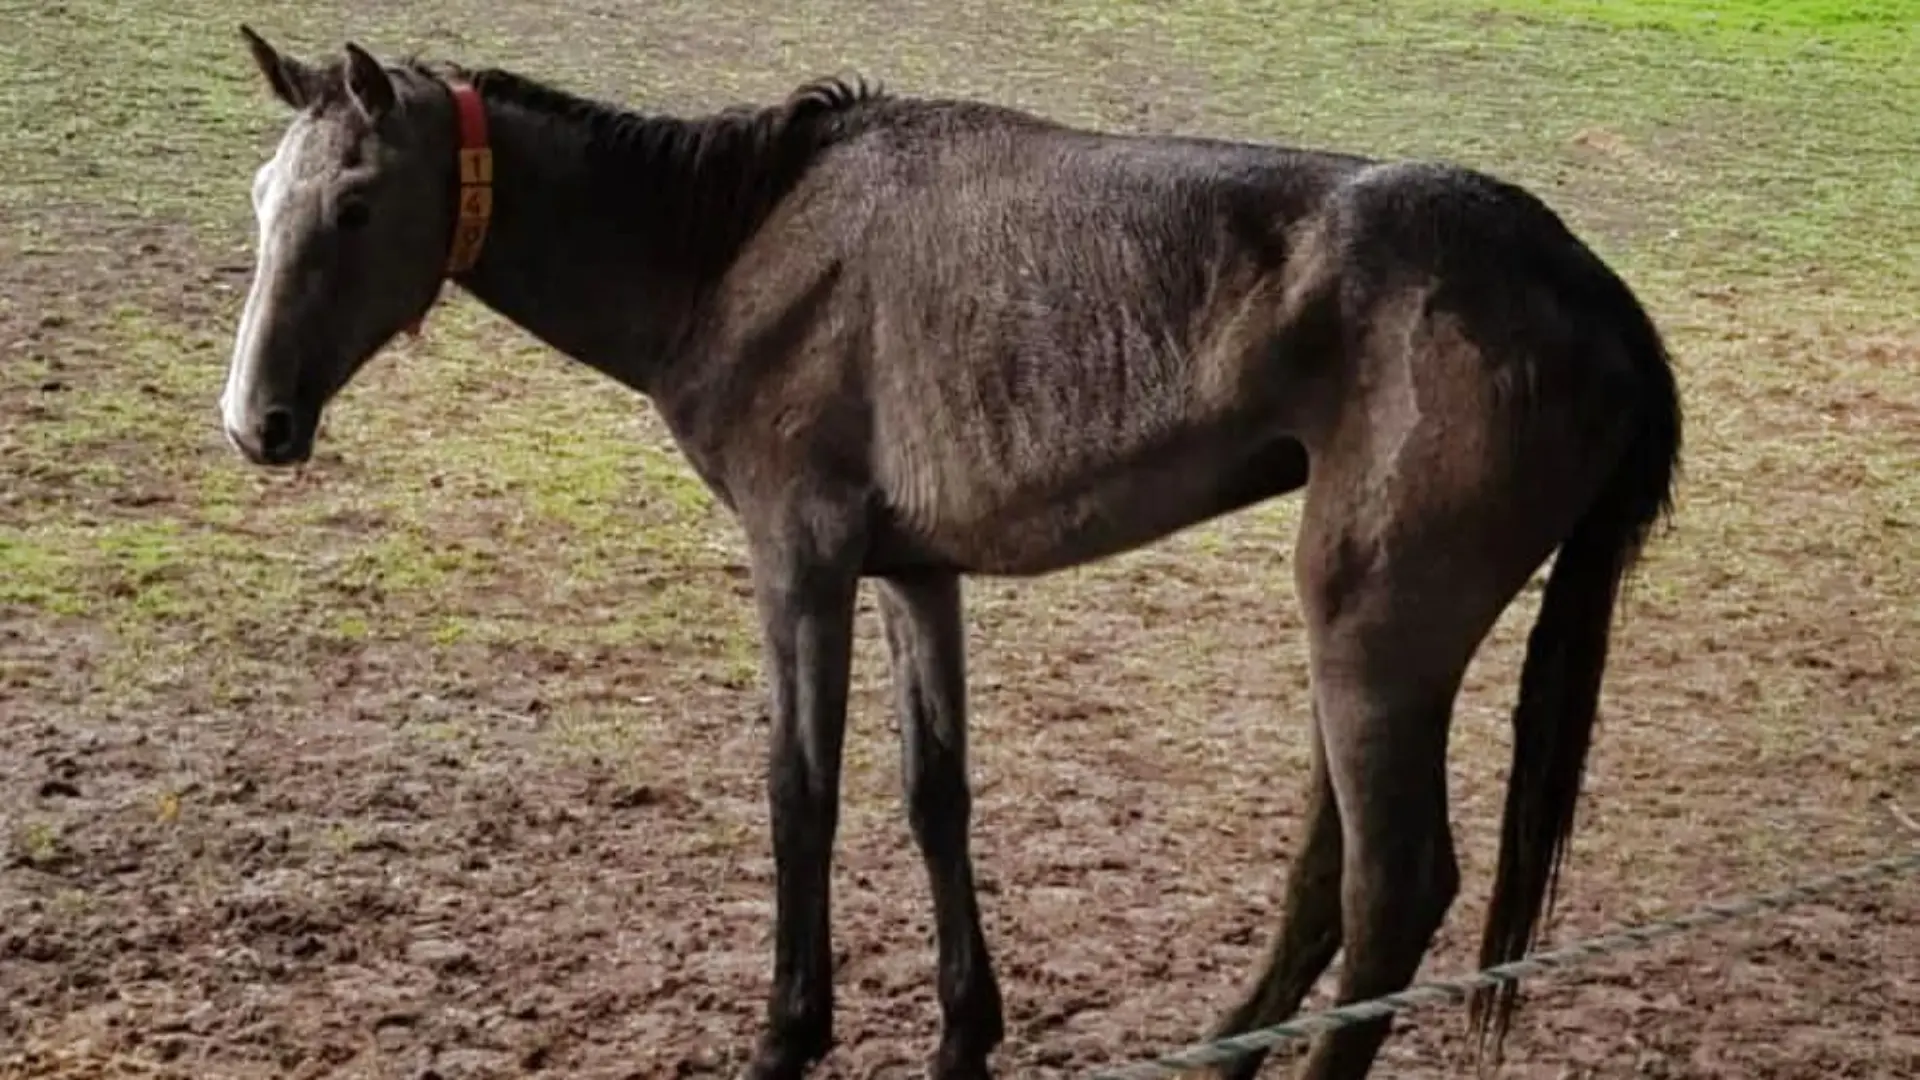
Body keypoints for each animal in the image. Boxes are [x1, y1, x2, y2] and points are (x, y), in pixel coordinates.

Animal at [219, 26, 1681, 1080]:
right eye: (263, 197)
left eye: (354, 206)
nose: (255, 421)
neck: (741, 244)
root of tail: (1590, 286)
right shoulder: (914, 575)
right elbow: (937, 795)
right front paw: (964, 1031)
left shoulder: (800, 561)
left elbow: (800, 791)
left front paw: (789, 1032)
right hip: (1365, 644)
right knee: (1332, 879)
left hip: (1376, 632)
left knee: (1393, 890)